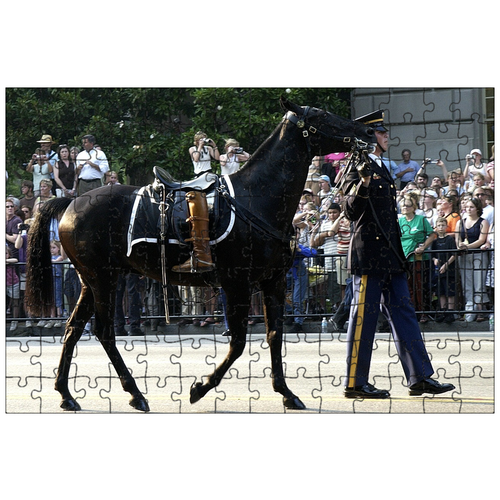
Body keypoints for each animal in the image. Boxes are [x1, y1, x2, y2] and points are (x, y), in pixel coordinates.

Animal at [24, 99, 376, 412]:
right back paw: (134, 394)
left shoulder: (272, 282)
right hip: (103, 279)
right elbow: (238, 342)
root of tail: (70, 202)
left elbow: (275, 334)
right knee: (103, 332)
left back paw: (66, 394)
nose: (367, 130)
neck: (257, 198)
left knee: (73, 329)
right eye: (321, 116)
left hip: (92, 281)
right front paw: (200, 387)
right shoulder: (236, 284)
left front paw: (287, 393)